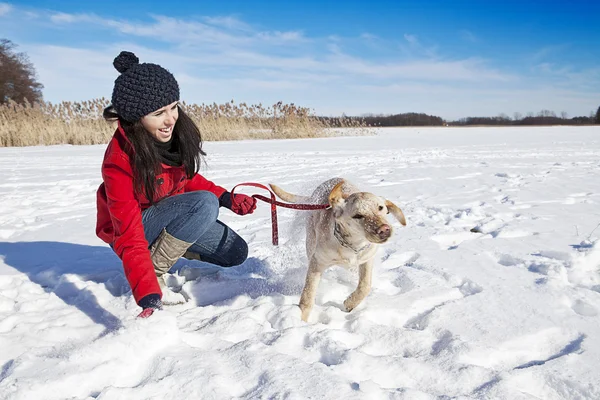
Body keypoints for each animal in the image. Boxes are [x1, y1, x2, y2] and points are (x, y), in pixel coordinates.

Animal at [268, 178, 406, 322]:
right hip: (310, 241)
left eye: (380, 207)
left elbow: (365, 285)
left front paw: (350, 303)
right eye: (357, 215)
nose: (384, 229)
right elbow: (308, 295)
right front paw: (301, 318)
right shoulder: (317, 262)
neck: (352, 244)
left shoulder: (367, 259)